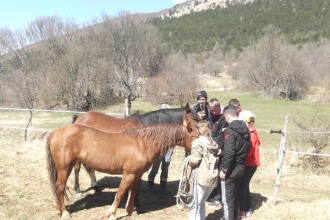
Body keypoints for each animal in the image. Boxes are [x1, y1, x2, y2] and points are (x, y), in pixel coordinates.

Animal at [46, 121, 199, 219]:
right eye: (195, 136)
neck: (142, 144)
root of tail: (56, 131)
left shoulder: (137, 174)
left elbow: (133, 191)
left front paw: (130, 210)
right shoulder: (128, 174)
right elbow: (120, 193)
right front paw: (112, 214)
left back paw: (59, 210)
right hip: (65, 168)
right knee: (60, 187)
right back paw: (65, 213)